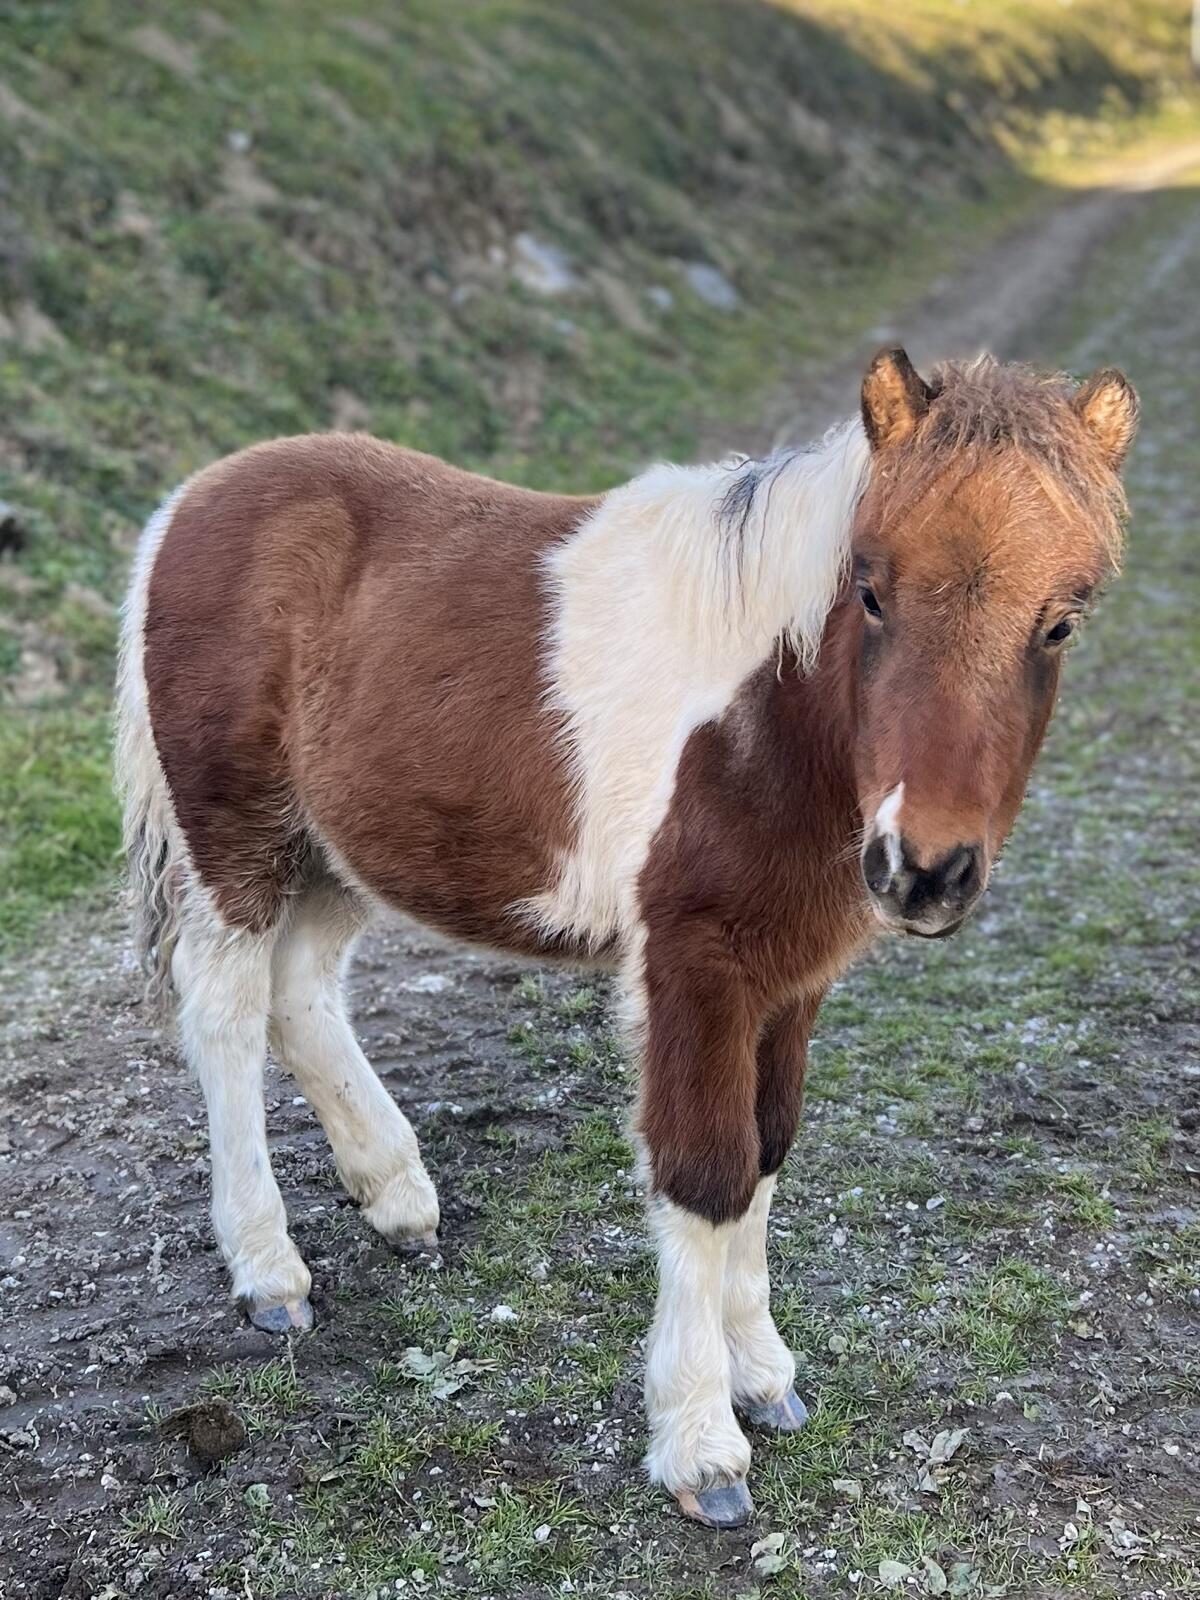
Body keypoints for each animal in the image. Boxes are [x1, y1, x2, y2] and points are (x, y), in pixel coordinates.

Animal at [114, 348, 1137, 1527]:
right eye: (872, 589)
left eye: (1062, 621)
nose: (924, 869)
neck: (764, 722)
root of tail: (189, 501)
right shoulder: (695, 962)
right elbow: (705, 1173)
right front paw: (702, 1445)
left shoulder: (792, 976)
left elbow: (765, 1152)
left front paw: (766, 1378)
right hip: (234, 840)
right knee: (229, 1016)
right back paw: (269, 1272)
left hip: (338, 848)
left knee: (303, 992)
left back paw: (398, 1195)